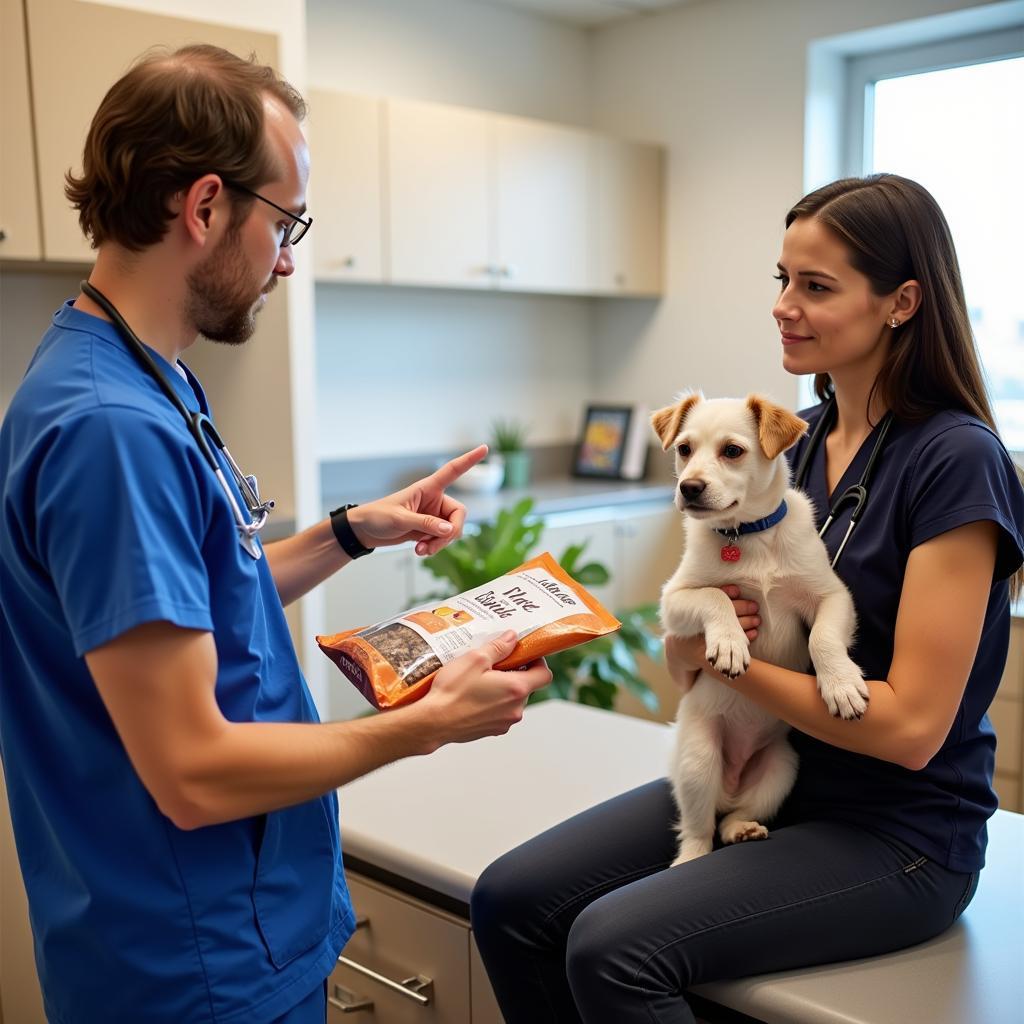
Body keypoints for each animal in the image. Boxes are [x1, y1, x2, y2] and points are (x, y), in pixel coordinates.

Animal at [655, 391, 864, 864]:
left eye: (732, 451)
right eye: (684, 449)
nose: (689, 487)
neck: (745, 535)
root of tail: (730, 783)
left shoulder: (833, 596)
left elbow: (823, 638)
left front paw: (840, 685)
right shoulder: (673, 600)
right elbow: (715, 597)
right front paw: (731, 644)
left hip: (781, 768)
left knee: (731, 818)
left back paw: (743, 829)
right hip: (698, 760)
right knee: (699, 829)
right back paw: (692, 856)